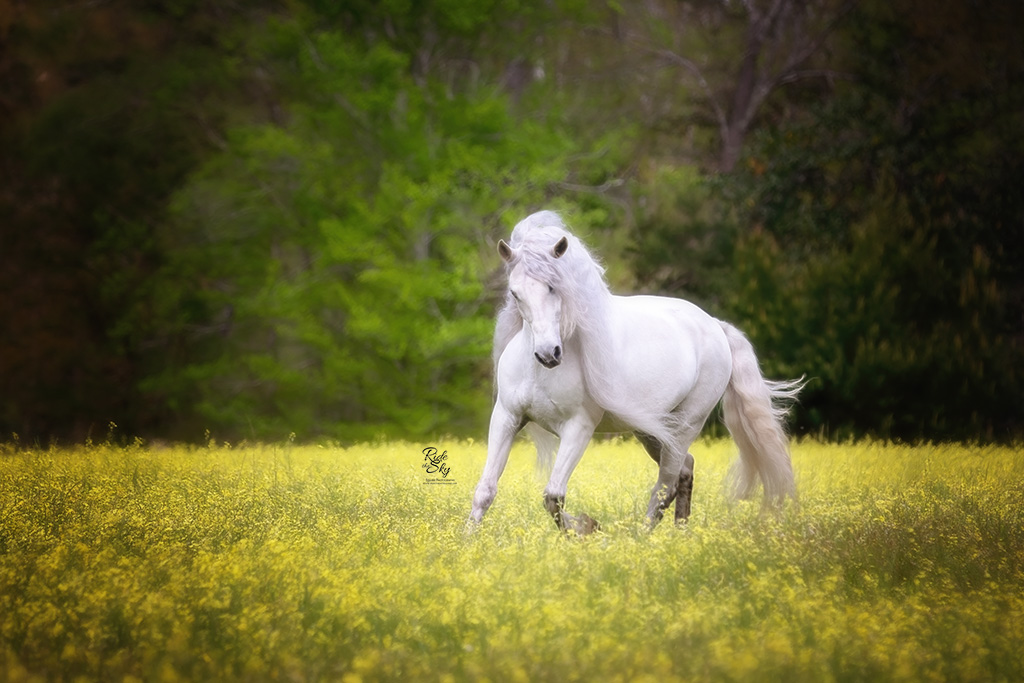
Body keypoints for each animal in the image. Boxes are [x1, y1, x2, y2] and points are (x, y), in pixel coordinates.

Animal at [468, 209, 802, 532]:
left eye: (554, 287)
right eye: (515, 293)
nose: (549, 353)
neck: (539, 372)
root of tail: (715, 325)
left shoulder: (578, 427)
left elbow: (553, 496)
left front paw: (586, 528)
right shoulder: (507, 418)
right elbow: (486, 490)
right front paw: (468, 538)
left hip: (685, 426)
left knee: (664, 486)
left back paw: (644, 538)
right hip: (652, 431)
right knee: (684, 471)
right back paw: (681, 534)